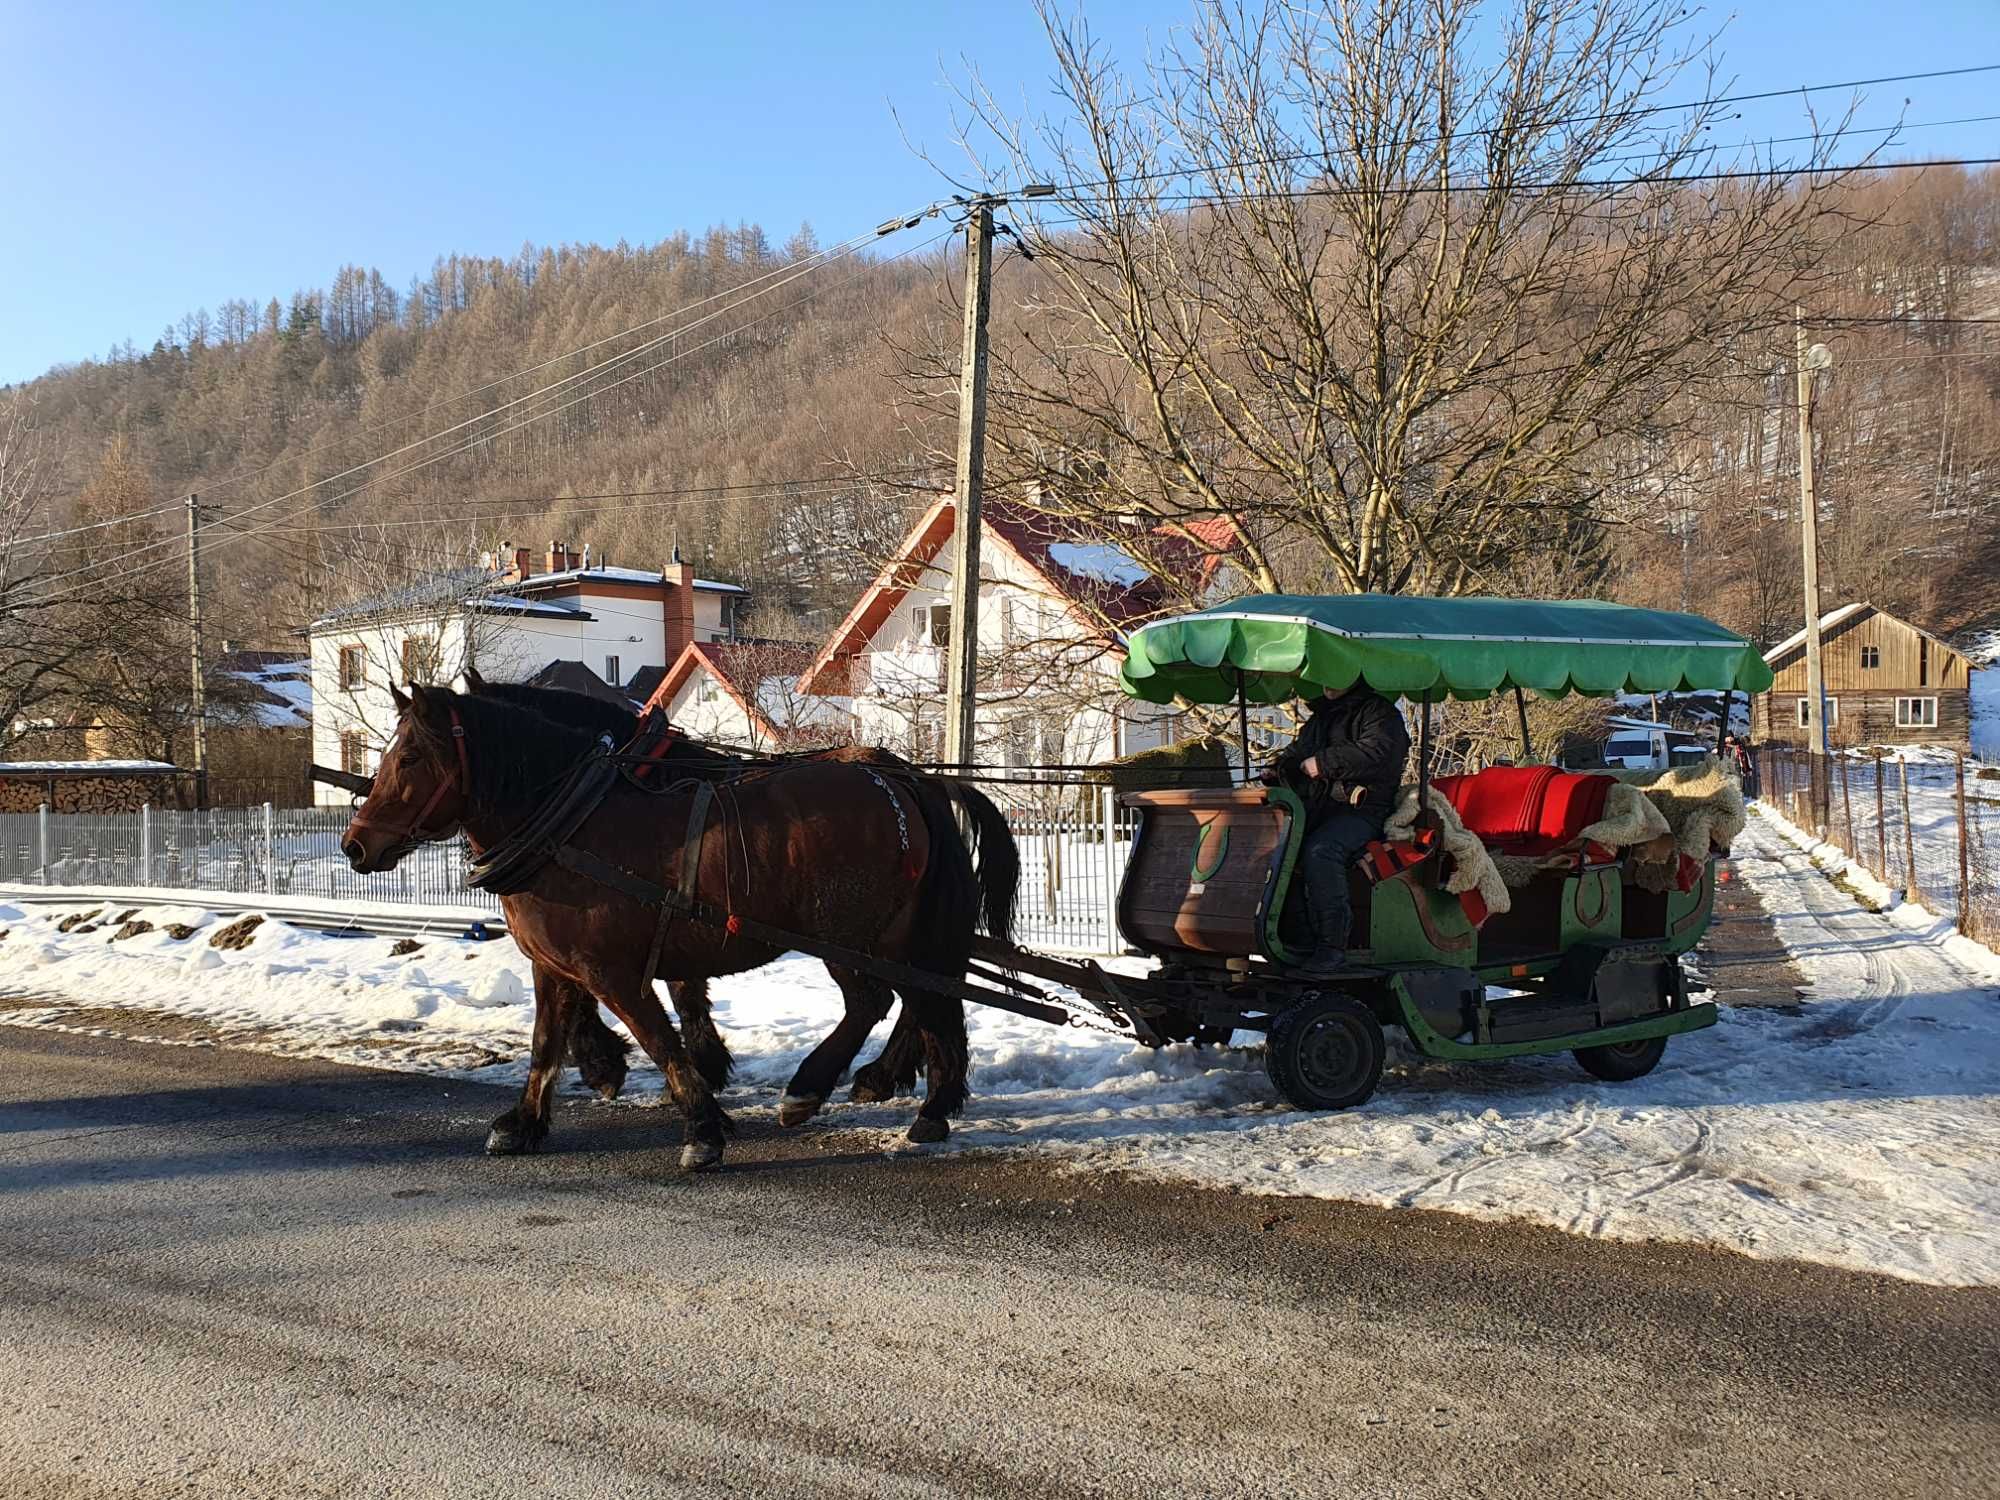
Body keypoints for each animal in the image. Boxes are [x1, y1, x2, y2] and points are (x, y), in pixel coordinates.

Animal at [342, 684, 1016, 1176]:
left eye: (408, 757)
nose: (355, 845)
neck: (569, 826)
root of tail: (905, 781)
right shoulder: (555, 967)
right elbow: (545, 1043)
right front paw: (525, 1122)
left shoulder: (612, 971)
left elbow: (661, 1040)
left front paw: (702, 1127)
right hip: (899, 936)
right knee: (929, 1003)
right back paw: (927, 1105)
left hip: (850, 936)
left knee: (876, 1001)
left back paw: (815, 1090)